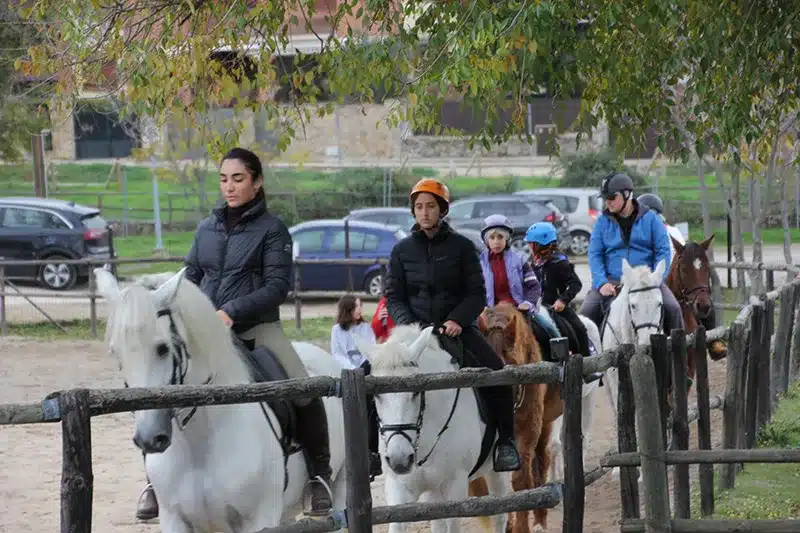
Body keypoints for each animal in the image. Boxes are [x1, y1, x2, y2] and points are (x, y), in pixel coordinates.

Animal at [94, 268, 346, 532]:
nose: (149, 438)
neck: (199, 444)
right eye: (116, 353)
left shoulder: (259, 519)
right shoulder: (174, 519)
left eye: (162, 348)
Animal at [358, 322, 512, 532]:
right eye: (376, 394)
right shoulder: (399, 487)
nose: (400, 460)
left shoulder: (455, 486)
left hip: (495, 473)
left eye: (416, 392)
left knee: (499, 515)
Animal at [468, 302, 564, 532]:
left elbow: (521, 480)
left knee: (542, 461)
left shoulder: (527, 431)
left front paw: (521, 526)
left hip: (544, 425)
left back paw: (539, 520)